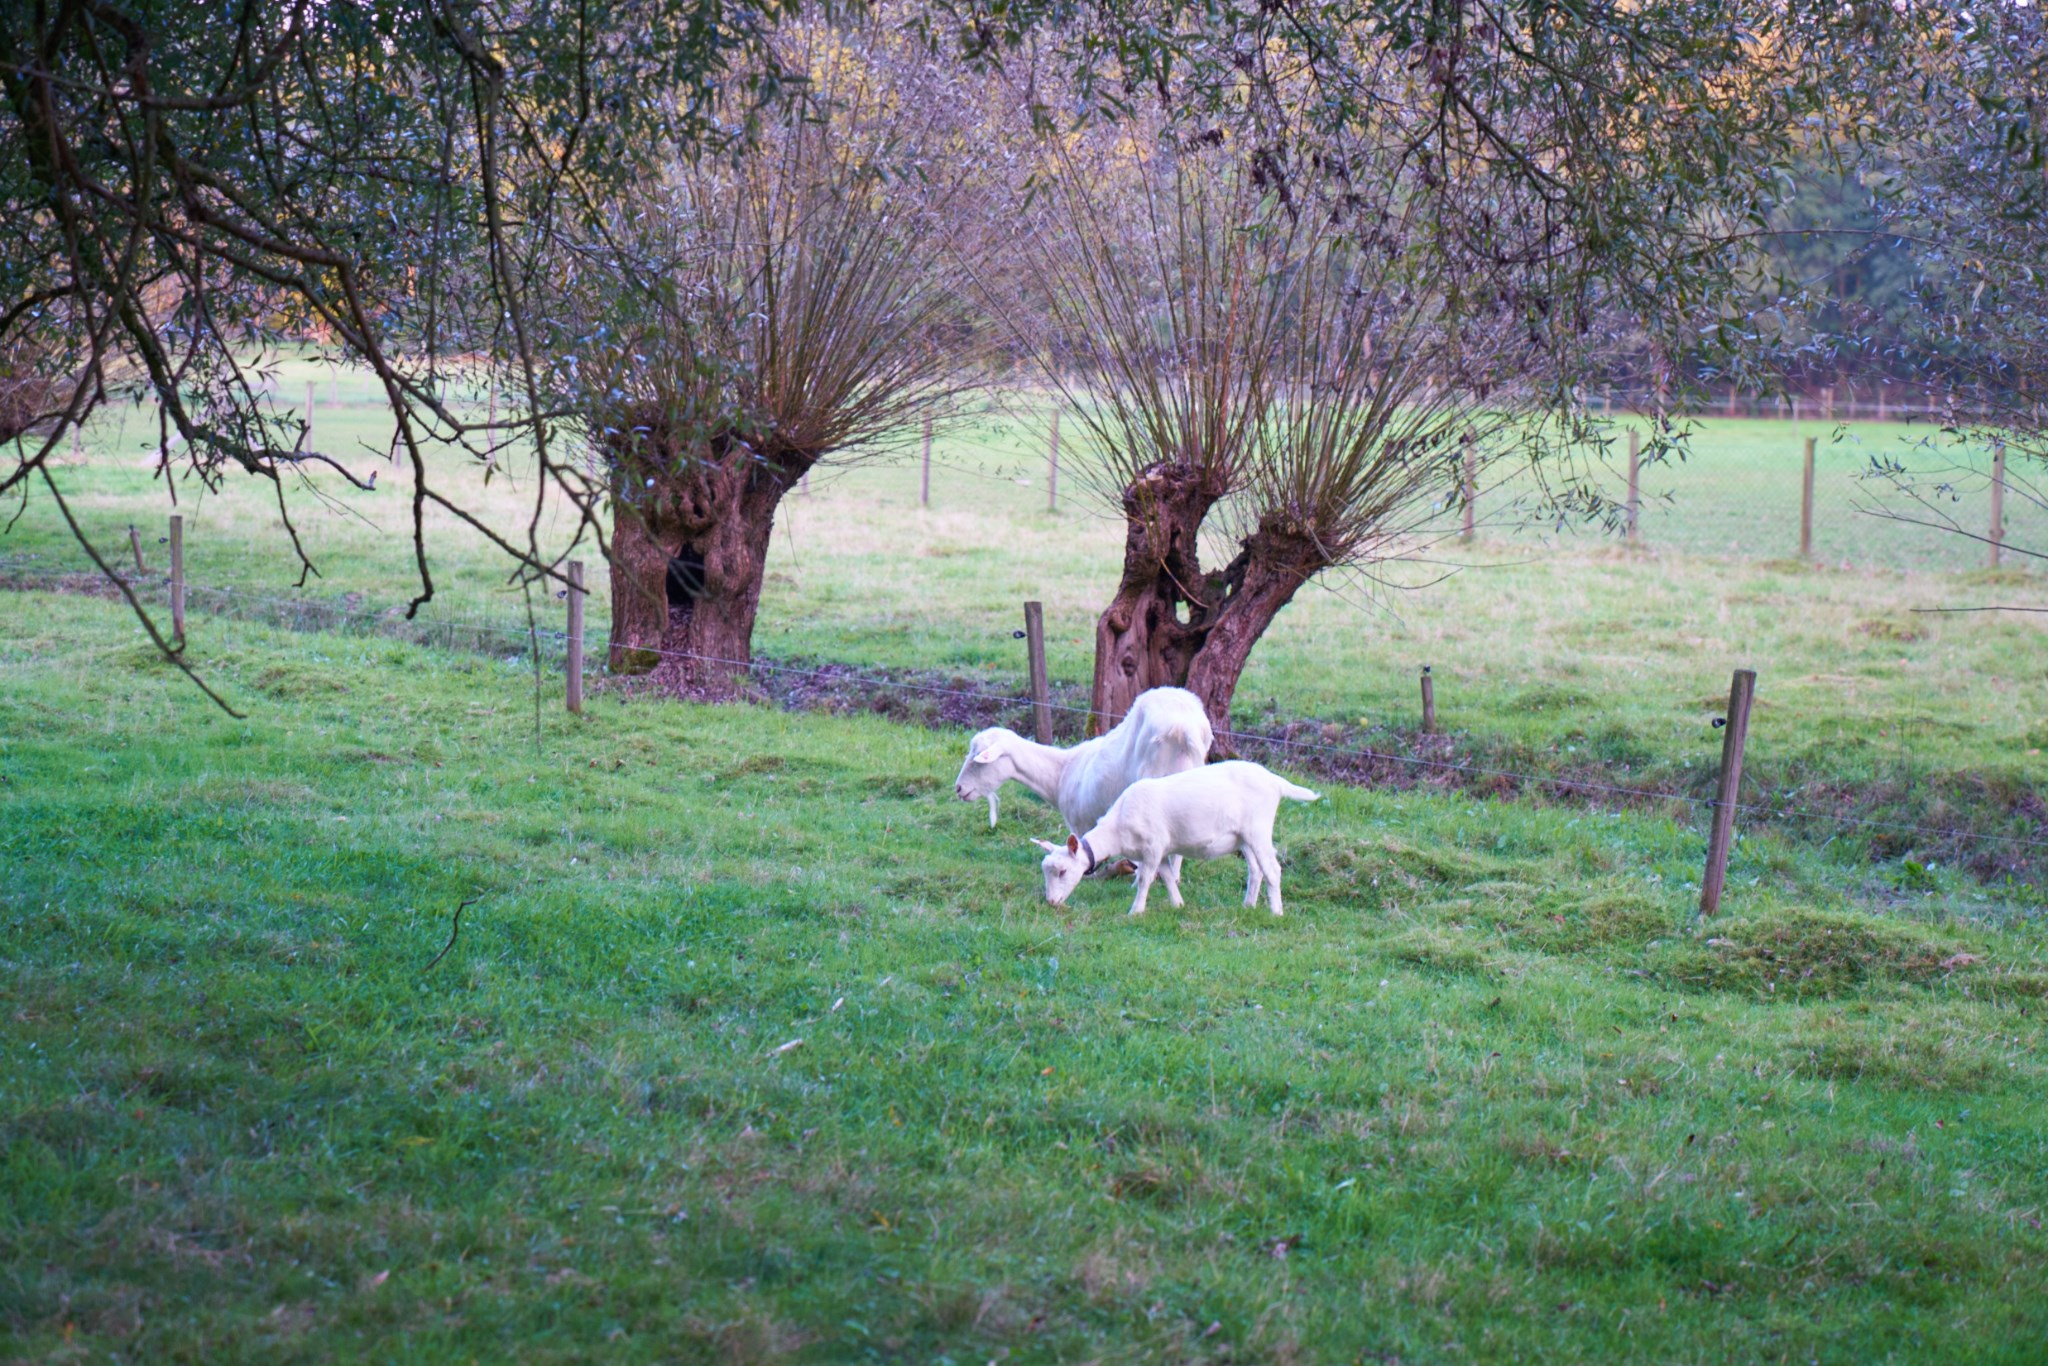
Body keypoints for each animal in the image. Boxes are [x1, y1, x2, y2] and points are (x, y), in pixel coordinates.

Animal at [1032, 757, 1318, 917]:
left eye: (1062, 871)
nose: (1051, 902)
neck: (1117, 828)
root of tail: (1275, 781)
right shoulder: (1160, 850)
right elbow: (1168, 877)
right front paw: (1178, 905)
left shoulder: (1153, 846)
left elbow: (1146, 879)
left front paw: (1136, 912)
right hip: (1243, 837)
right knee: (1256, 870)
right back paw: (1248, 906)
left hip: (1258, 829)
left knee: (1272, 869)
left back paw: (1276, 912)